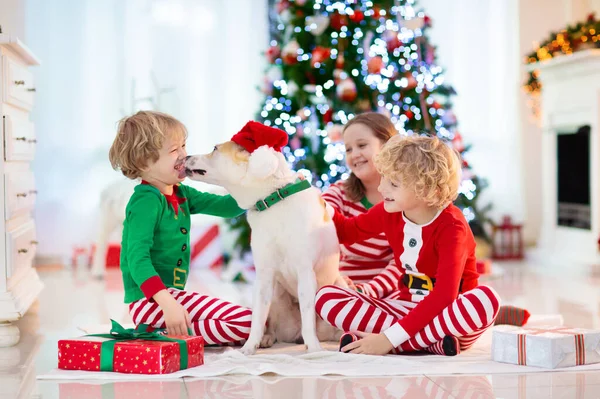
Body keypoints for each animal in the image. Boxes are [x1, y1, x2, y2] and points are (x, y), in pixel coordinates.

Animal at [185, 122, 344, 356]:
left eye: (214, 148)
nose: (186, 156)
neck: (273, 199)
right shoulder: (264, 275)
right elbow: (258, 318)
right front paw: (249, 348)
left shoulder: (305, 272)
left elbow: (308, 318)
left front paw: (315, 349)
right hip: (276, 294)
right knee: (271, 325)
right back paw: (267, 339)